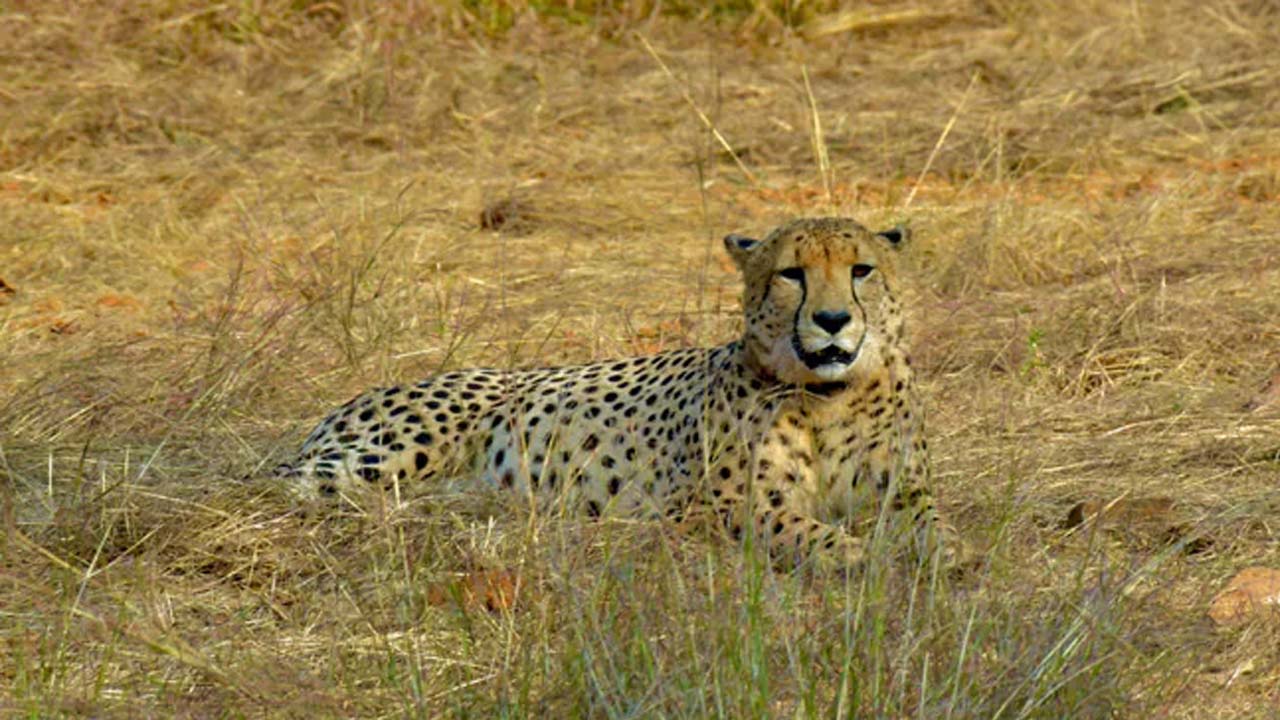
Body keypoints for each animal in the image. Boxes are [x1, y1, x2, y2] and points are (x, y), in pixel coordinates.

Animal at [275, 216, 958, 571]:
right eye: (791, 274)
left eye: (861, 270)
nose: (834, 320)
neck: (829, 396)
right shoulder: (723, 507)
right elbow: (808, 532)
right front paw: (862, 556)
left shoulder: (903, 490)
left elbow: (934, 526)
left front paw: (948, 553)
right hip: (381, 457)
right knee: (280, 485)